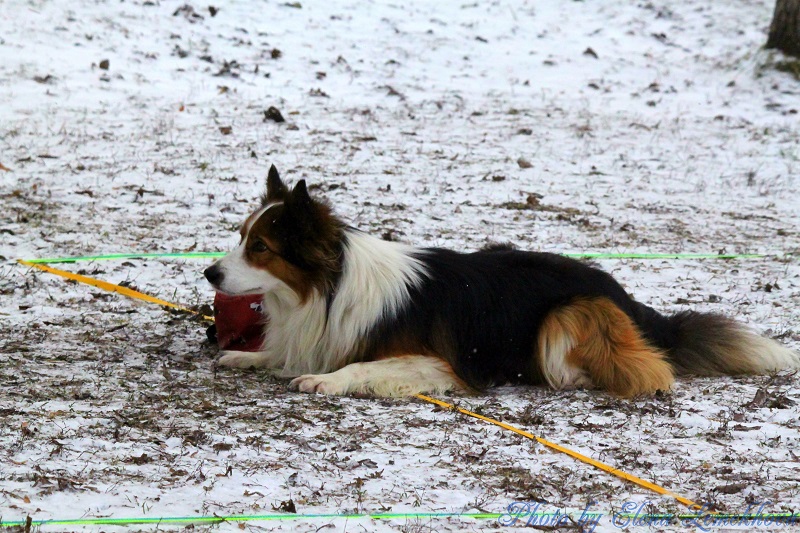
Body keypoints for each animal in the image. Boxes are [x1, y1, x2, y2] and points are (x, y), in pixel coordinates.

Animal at [204, 165, 799, 398]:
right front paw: (248, 356)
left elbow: (360, 367)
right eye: (241, 236)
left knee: (648, 370)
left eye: (260, 249)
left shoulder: (438, 365)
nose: (209, 272)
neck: (327, 289)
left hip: (566, 316)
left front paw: (324, 380)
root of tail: (622, 293)